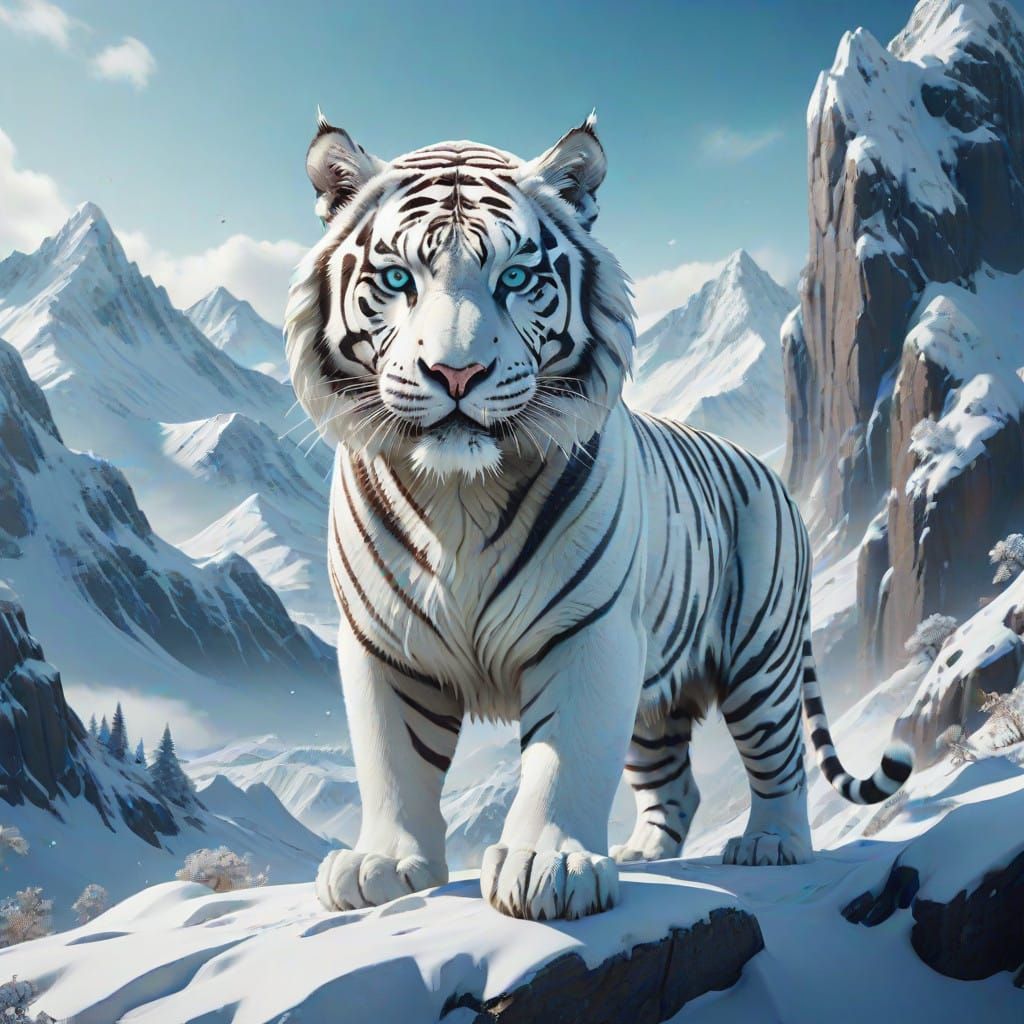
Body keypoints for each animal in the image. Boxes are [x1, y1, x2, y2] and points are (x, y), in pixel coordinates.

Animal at [286, 111, 913, 922]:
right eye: (398, 280)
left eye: (515, 278)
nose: (456, 373)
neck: (458, 494)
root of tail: (767, 470)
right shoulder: (384, 643)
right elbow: (394, 760)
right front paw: (385, 867)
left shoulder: (589, 630)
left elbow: (565, 757)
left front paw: (546, 867)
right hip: (656, 693)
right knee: (675, 780)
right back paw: (645, 852)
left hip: (761, 655)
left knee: (779, 757)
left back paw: (771, 844)